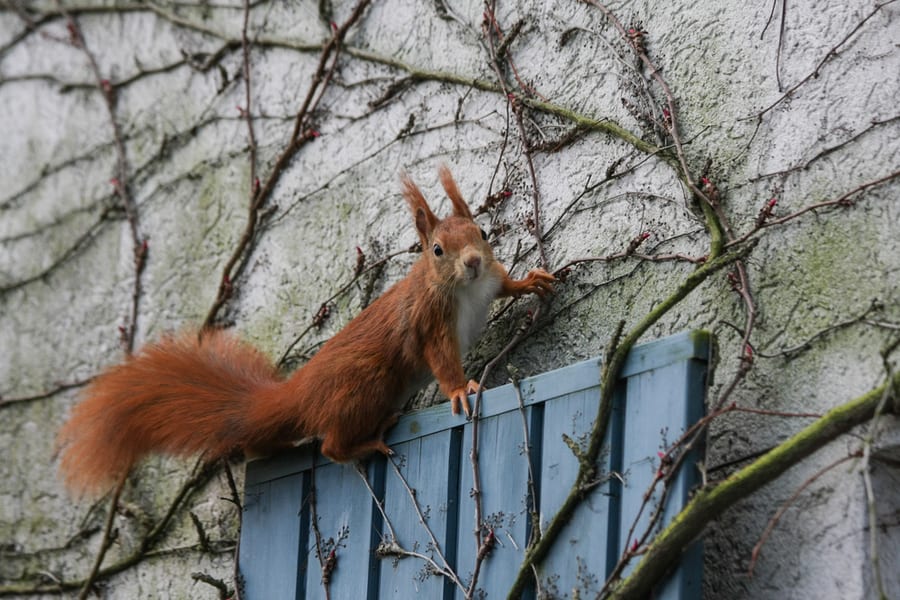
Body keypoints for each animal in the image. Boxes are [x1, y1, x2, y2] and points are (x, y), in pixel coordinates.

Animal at [58, 166, 556, 494]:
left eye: (483, 234)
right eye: (435, 250)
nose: (471, 262)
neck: (465, 289)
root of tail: (296, 395)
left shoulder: (488, 281)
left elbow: (505, 283)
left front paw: (531, 281)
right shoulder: (429, 322)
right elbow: (443, 361)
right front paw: (458, 390)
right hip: (365, 385)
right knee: (330, 447)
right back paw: (368, 442)